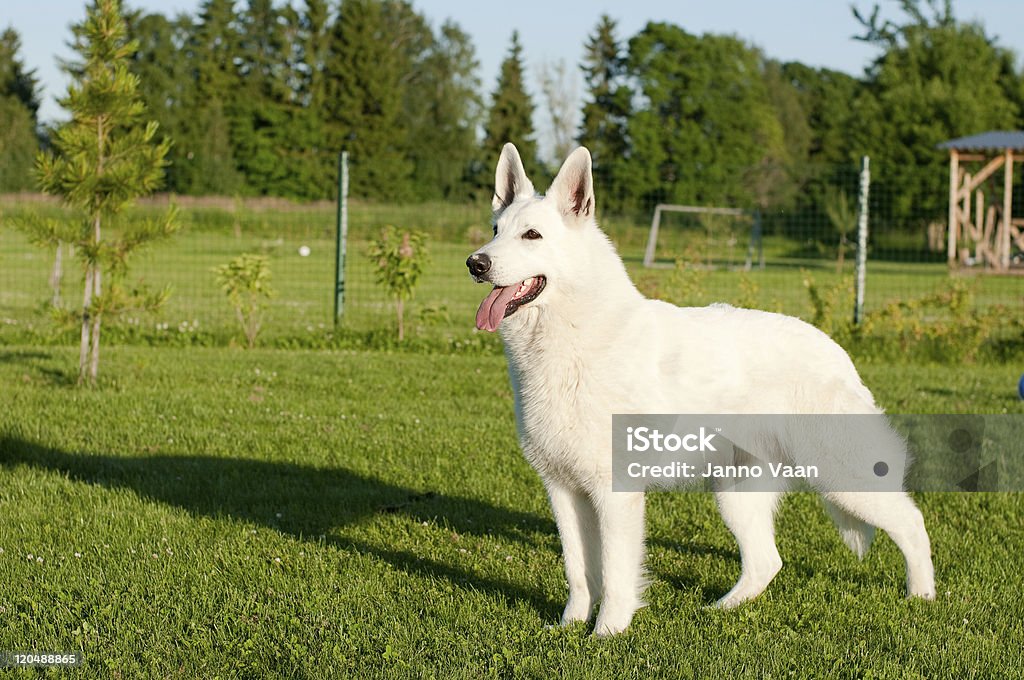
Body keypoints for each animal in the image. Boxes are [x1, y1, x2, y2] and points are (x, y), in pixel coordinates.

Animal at [468, 143, 933, 639]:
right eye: (495, 230)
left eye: (532, 235)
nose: (475, 263)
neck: (573, 335)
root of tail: (839, 355)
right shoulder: (563, 490)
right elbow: (579, 571)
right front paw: (569, 626)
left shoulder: (613, 495)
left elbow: (614, 574)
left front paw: (608, 634)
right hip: (735, 495)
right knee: (767, 562)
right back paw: (720, 610)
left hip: (842, 481)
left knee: (913, 522)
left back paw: (922, 597)